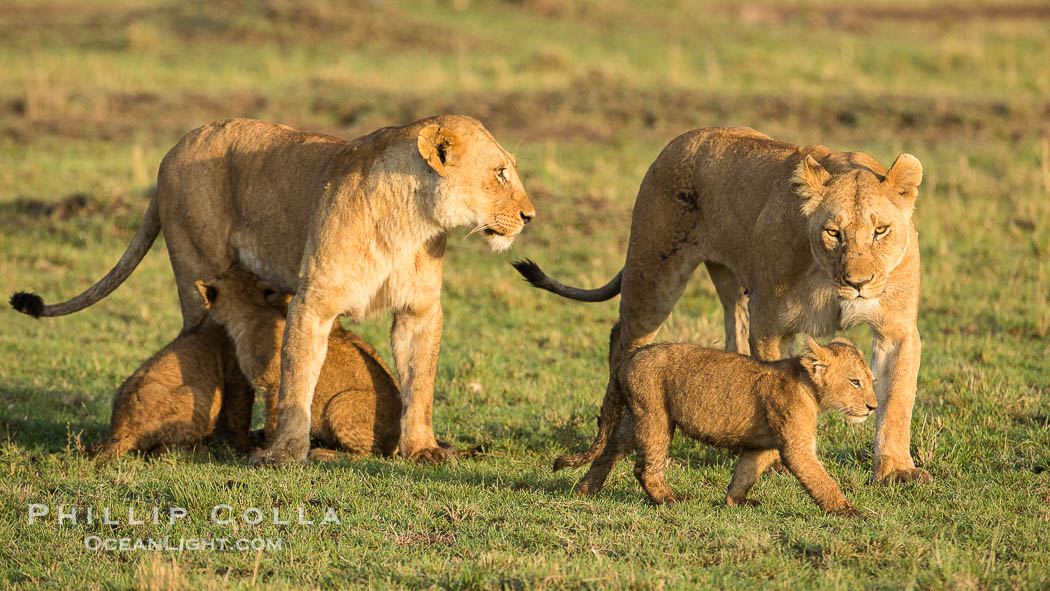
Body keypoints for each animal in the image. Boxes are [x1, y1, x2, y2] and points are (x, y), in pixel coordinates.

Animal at [88, 320, 254, 460]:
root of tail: (121, 428)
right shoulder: (237, 375)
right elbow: (240, 415)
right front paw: (246, 450)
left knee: (97, 446)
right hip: (196, 400)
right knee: (160, 452)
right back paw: (204, 451)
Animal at [196, 266, 402, 460]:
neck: (252, 311)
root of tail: (396, 440)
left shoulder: (274, 385)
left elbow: (273, 422)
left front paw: (266, 451)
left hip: (340, 403)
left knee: (368, 453)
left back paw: (324, 454)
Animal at [515, 126, 928, 484]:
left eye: (880, 230)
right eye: (833, 232)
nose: (858, 283)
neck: (829, 280)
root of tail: (683, 138)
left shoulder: (897, 330)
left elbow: (896, 401)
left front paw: (896, 470)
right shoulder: (771, 324)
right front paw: (777, 461)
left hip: (734, 290)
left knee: (733, 343)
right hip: (654, 278)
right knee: (623, 340)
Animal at [555, 336, 875, 516]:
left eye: (871, 380)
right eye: (855, 381)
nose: (873, 407)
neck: (810, 387)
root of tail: (630, 356)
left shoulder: (763, 444)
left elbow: (746, 472)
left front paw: (735, 502)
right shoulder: (795, 446)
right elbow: (822, 481)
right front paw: (849, 511)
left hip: (634, 418)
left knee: (609, 449)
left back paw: (585, 491)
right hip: (655, 414)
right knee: (645, 468)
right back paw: (671, 500)